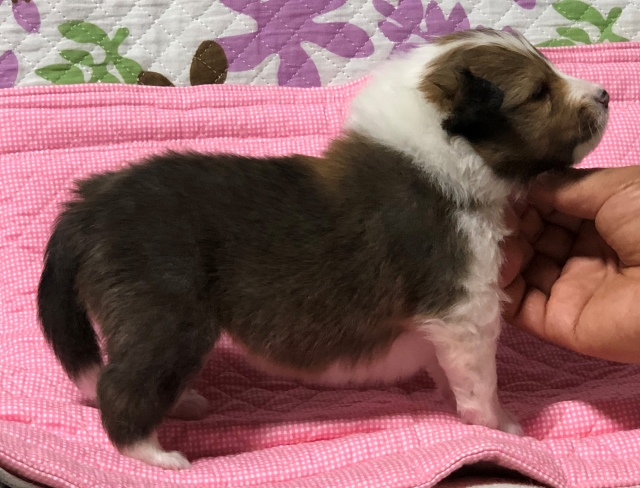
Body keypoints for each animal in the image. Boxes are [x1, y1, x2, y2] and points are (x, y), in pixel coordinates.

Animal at [37, 28, 609, 470]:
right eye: (538, 93)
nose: (604, 94)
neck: (439, 156)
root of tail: (89, 200)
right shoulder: (465, 309)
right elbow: (479, 382)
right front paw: (501, 428)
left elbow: (448, 373)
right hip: (167, 314)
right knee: (120, 385)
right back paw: (157, 456)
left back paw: (183, 404)